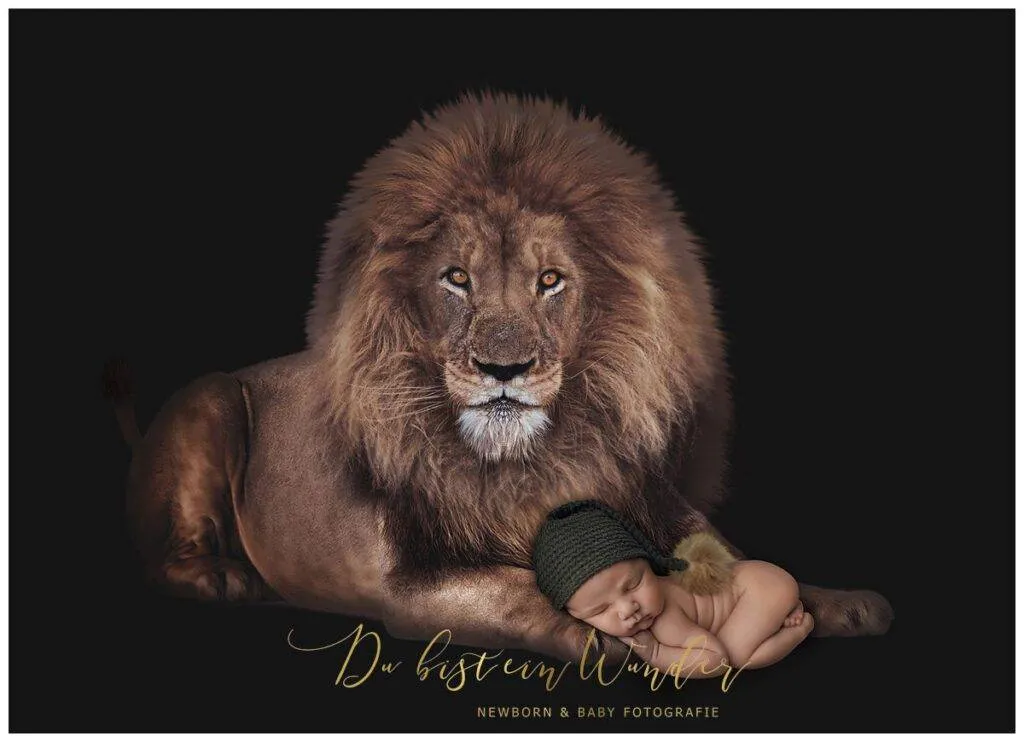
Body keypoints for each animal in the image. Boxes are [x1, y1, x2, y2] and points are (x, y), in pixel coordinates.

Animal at [106, 91, 893, 662]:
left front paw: (843, 602)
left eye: (551, 281)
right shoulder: (403, 582)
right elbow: (518, 588)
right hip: (210, 399)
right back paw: (225, 577)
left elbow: (738, 558)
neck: (529, 462)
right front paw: (612, 634)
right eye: (457, 278)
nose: (503, 368)